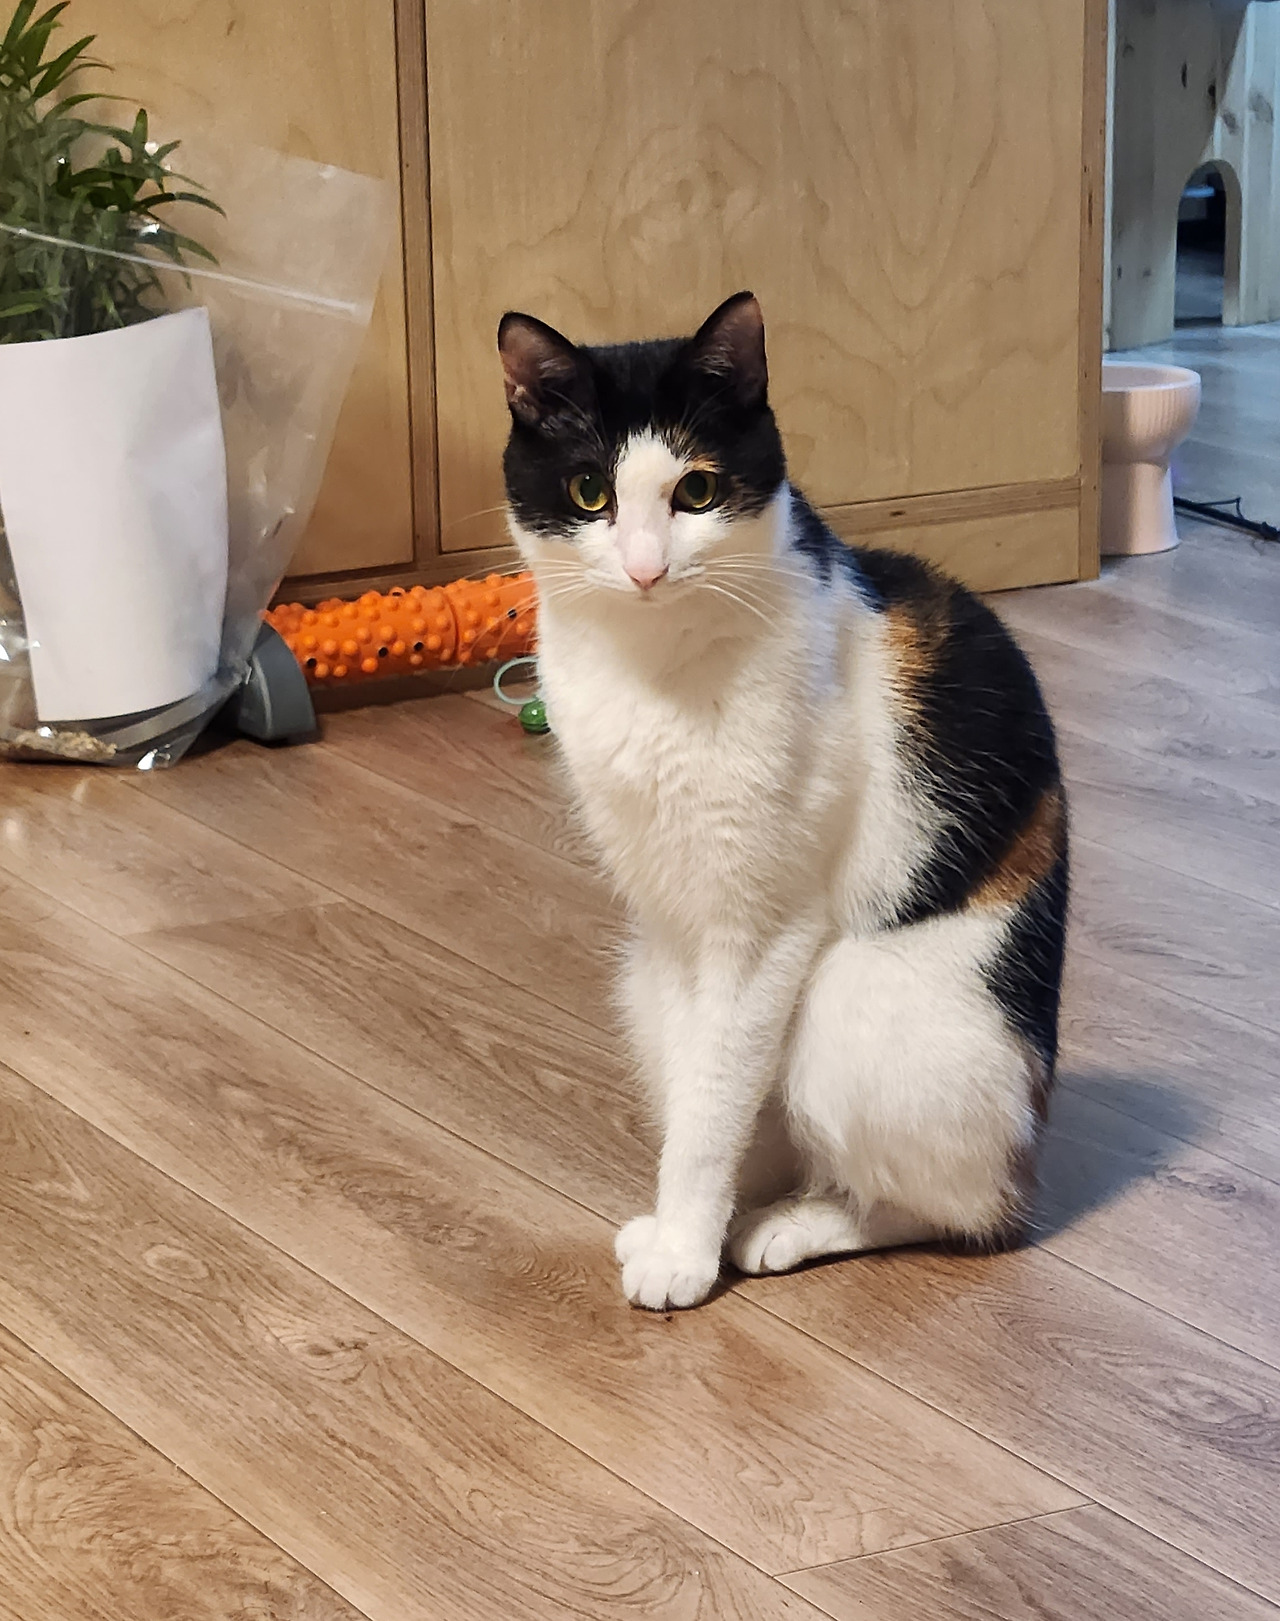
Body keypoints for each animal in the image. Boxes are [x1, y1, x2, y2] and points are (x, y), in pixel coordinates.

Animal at [498, 292, 1067, 1311]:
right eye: (590, 493)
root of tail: (1031, 1145)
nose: (644, 567)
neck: (652, 670)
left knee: (963, 1213)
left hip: (858, 998)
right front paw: (689, 1223)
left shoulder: (762, 925)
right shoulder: (674, 919)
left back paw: (801, 1221)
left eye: (695, 491)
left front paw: (688, 1251)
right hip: (638, 975)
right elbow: (704, 1091)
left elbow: (715, 1100)